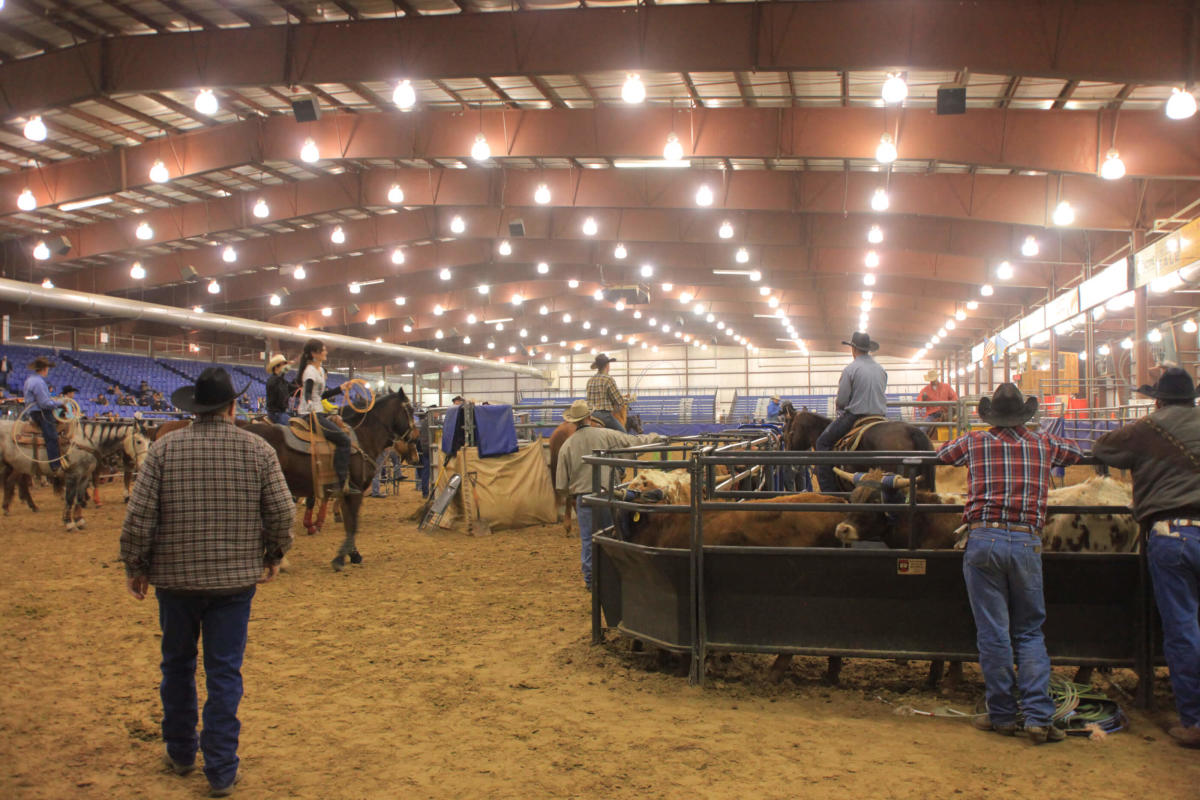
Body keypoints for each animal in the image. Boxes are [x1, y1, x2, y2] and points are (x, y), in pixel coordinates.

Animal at [241, 388, 420, 568]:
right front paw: (341, 557)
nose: (416, 439)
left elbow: (348, 522)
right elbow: (352, 523)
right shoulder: (355, 491)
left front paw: (352, 554)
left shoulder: (343, 492)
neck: (362, 436)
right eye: (411, 410)